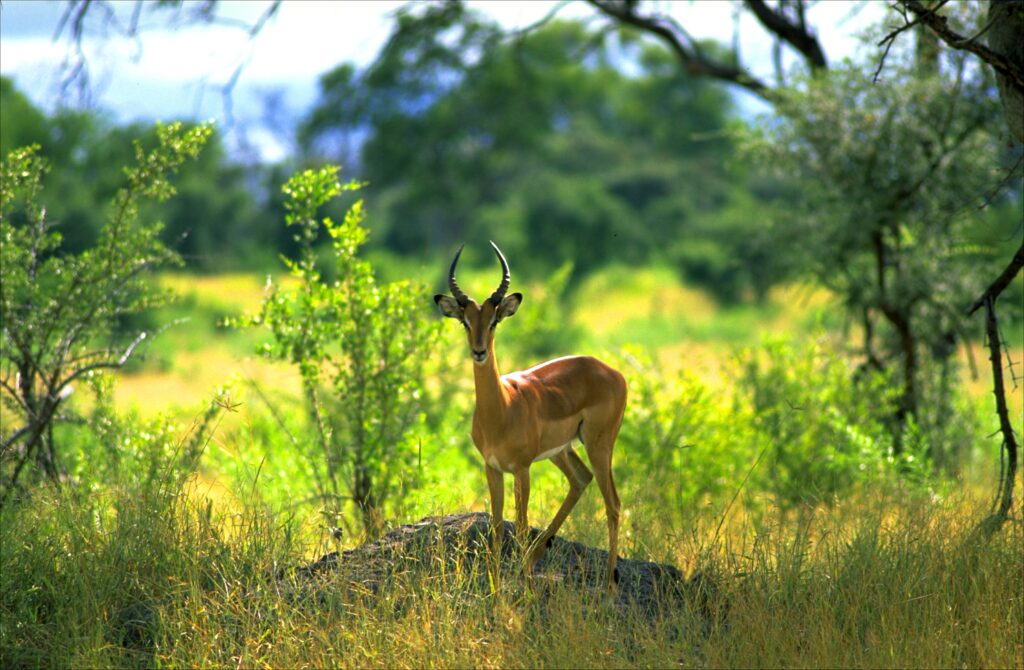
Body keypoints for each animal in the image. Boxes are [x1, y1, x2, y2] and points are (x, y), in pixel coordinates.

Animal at [433, 241, 627, 587]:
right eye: (465, 322)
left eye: (494, 321)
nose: (479, 352)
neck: (501, 411)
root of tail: (614, 373)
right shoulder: (493, 468)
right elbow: (498, 526)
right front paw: (497, 589)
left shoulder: (522, 469)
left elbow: (521, 525)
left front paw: (521, 586)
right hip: (562, 451)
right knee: (581, 479)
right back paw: (537, 557)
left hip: (599, 445)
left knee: (613, 504)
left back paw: (608, 584)